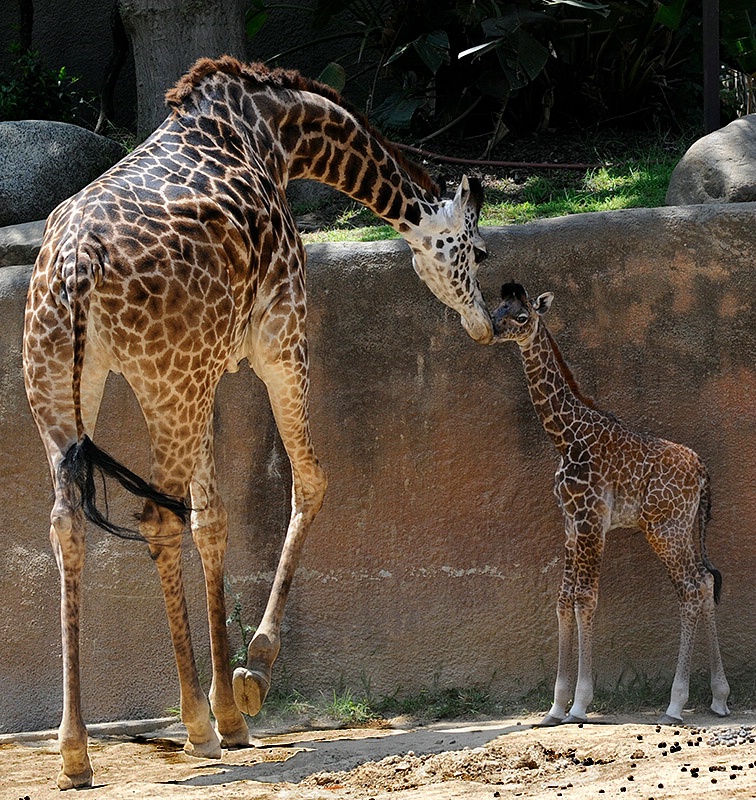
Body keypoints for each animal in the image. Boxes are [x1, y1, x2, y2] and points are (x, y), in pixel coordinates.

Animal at [22, 56, 490, 788]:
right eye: (479, 251)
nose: (486, 325)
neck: (278, 133)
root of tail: (72, 268)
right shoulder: (280, 335)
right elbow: (311, 480)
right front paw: (250, 679)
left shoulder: (210, 372)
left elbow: (213, 521)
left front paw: (232, 713)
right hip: (166, 383)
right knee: (155, 518)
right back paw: (190, 724)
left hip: (64, 390)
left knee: (69, 524)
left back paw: (75, 752)